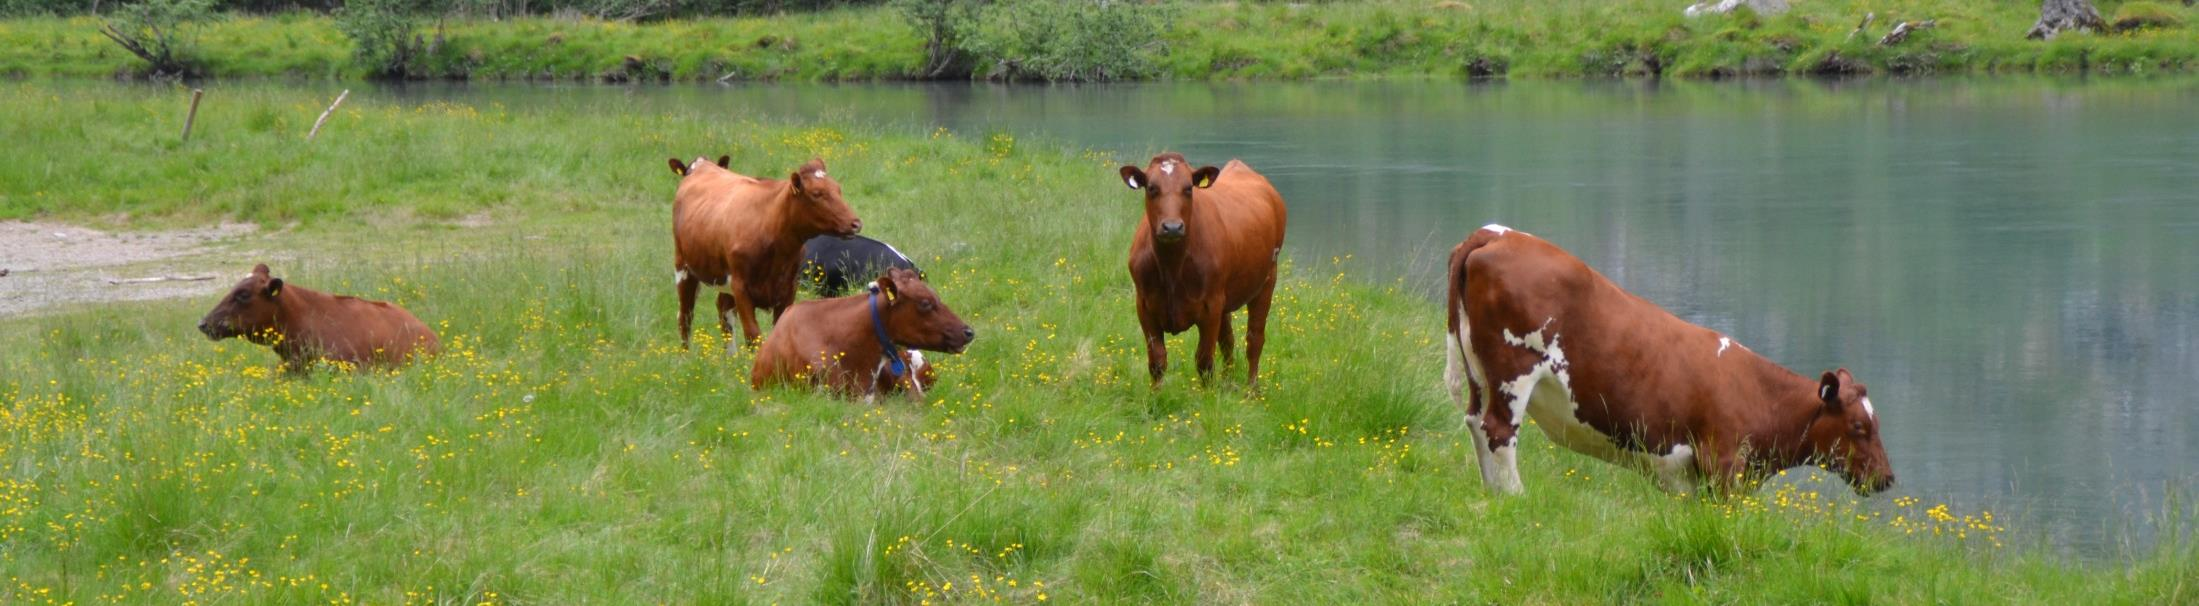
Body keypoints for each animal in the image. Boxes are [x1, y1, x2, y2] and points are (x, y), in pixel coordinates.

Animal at [672, 154, 862, 351]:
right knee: (685, 316)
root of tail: (702, 166)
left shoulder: (788, 288)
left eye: (838, 190)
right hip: (683, 267)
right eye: (817, 194)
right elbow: (753, 336)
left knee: (723, 311)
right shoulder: (741, 288)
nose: (855, 223)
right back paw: (685, 355)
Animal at [1117, 152, 1284, 388]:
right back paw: (1228, 382)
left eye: (1188, 188)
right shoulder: (1144, 305)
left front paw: (1208, 396)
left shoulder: (1210, 306)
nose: (1172, 227)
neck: (1171, 267)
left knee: (1255, 339)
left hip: (1267, 279)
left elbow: (1204, 360)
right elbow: (1157, 360)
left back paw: (1251, 389)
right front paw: (1155, 395)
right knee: (1228, 339)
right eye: (1151, 188)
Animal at [1442, 225, 1891, 494]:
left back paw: (1492, 492)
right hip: (1513, 371)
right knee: (1499, 431)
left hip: (1478, 370)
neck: (1759, 394)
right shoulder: (1724, 465)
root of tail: (1496, 234)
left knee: (1475, 422)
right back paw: (1516, 497)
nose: (1887, 478)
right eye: (1858, 426)